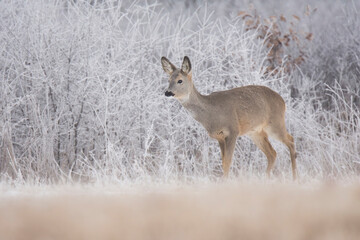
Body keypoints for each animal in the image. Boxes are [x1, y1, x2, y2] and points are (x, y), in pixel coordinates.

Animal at [162, 56, 296, 180]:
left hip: (275, 123)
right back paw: (266, 178)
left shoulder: (233, 130)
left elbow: (228, 161)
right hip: (255, 132)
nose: (167, 92)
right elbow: (223, 162)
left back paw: (295, 177)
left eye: (180, 80)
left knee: (290, 140)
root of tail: (282, 101)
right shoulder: (219, 136)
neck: (210, 114)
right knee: (272, 153)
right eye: (168, 80)